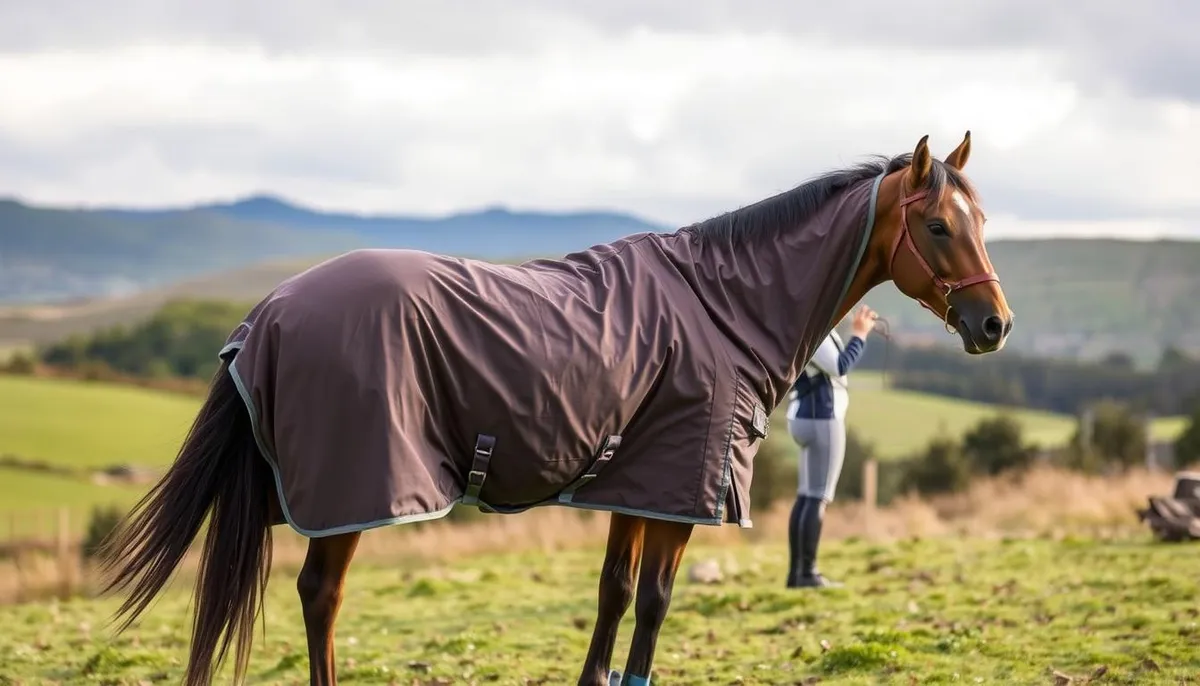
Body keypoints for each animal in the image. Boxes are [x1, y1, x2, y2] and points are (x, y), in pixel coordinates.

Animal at [97, 132, 1012, 686]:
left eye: (983, 219)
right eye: (937, 226)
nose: (994, 325)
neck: (723, 302)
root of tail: (269, 313)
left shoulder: (638, 483)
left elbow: (613, 593)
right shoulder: (681, 490)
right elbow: (655, 602)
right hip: (357, 489)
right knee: (321, 596)